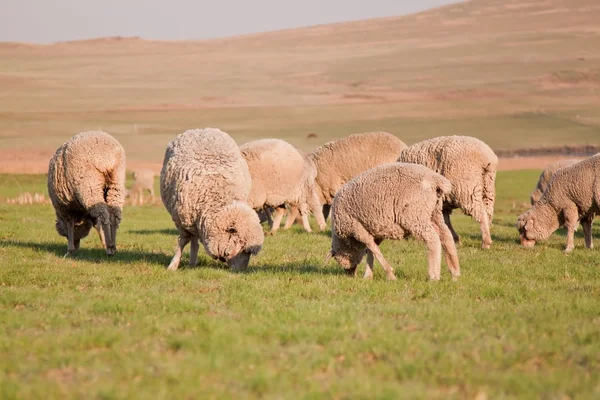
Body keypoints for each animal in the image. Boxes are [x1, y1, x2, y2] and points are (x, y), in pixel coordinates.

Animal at [328, 162, 460, 282]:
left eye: (337, 259)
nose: (349, 274)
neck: (347, 240)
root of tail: (436, 180)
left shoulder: (357, 227)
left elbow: (373, 249)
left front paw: (389, 274)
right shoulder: (375, 230)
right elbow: (372, 250)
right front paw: (368, 275)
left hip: (415, 215)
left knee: (432, 239)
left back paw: (434, 276)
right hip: (434, 212)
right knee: (446, 236)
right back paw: (455, 273)